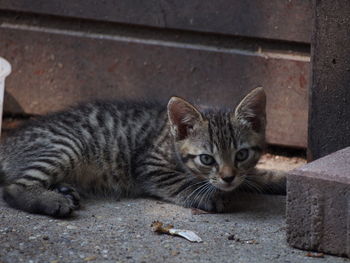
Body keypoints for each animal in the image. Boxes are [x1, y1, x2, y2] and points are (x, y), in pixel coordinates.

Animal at [0, 87, 284, 218]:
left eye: (241, 155)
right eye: (207, 159)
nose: (228, 178)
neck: (170, 137)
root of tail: (8, 142)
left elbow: (256, 176)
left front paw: (280, 179)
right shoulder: (150, 164)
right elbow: (181, 181)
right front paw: (211, 196)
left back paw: (64, 190)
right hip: (67, 146)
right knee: (13, 188)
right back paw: (52, 200)